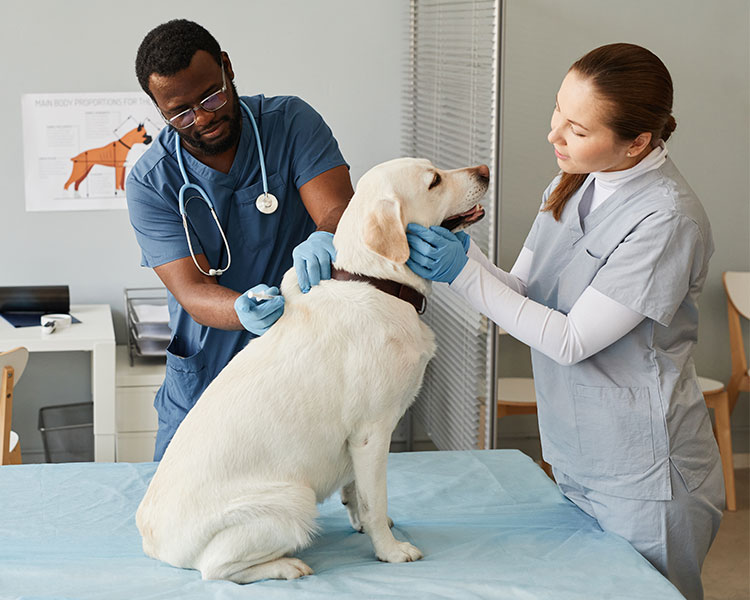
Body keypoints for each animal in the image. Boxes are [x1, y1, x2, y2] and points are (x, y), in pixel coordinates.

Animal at [137, 158, 488, 580]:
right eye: (434, 181)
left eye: (435, 169)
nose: (485, 171)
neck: (377, 281)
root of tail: (154, 543)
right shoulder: (372, 434)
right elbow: (375, 501)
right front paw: (389, 550)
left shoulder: (356, 444)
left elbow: (356, 492)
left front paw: (362, 524)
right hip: (295, 498)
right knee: (216, 569)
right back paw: (287, 566)